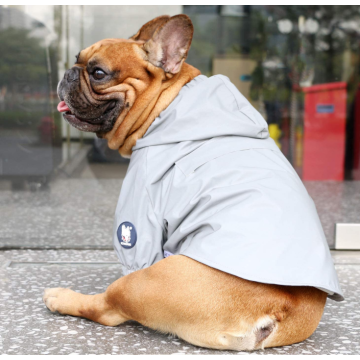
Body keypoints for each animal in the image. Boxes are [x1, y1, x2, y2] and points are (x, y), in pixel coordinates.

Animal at [43, 15, 328, 350]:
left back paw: (62, 297)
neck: (167, 104)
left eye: (98, 73)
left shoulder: (139, 219)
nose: (67, 73)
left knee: (107, 308)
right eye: (77, 59)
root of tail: (279, 308)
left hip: (145, 281)